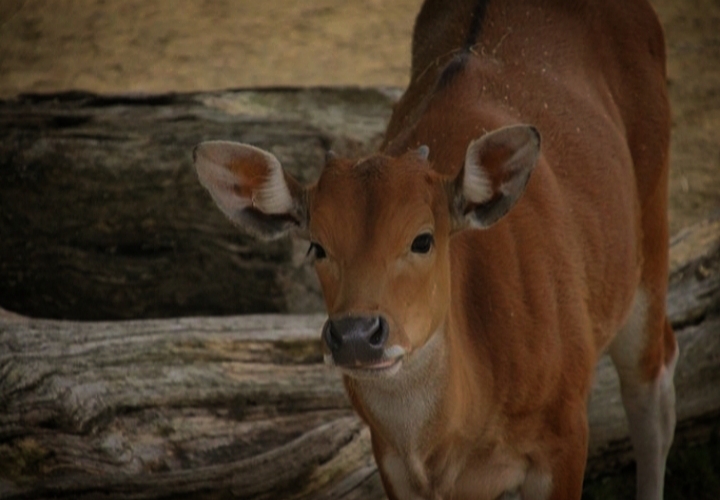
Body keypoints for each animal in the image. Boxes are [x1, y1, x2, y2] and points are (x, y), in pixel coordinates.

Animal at [192, 0, 677, 498]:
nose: (356, 335)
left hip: (649, 231)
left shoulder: (565, 431)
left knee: (653, 386)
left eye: (422, 239)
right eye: (316, 247)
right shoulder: (390, 461)